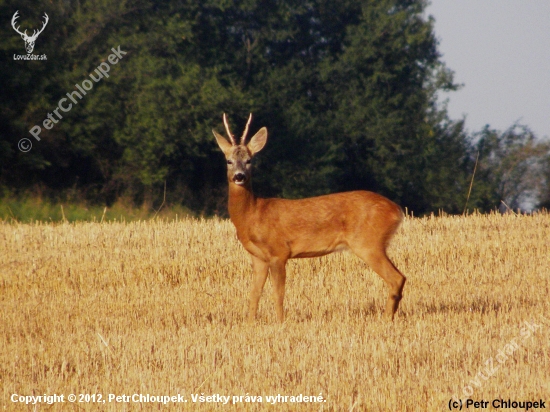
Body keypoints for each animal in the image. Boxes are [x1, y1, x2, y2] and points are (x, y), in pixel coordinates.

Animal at [213, 114, 408, 324]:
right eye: (229, 161)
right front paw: (250, 324)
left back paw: (386, 319)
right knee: (399, 277)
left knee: (397, 278)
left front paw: (280, 323)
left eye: (249, 160)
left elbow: (278, 293)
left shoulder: (279, 252)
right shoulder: (258, 257)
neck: (253, 214)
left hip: (368, 243)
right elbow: (254, 294)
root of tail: (397, 210)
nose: (239, 176)